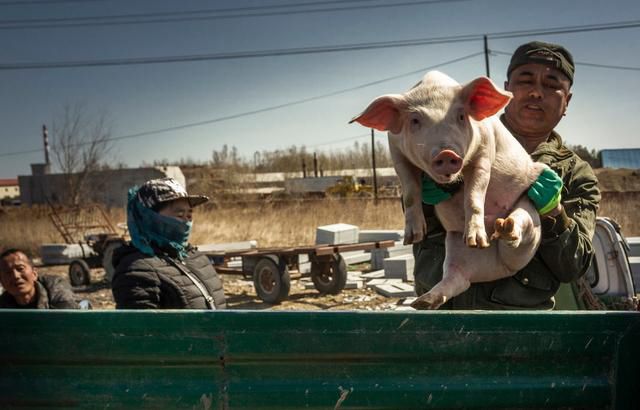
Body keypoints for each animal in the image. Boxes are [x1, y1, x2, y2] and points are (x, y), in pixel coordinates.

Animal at [350, 71, 552, 308]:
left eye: (462, 116)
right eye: (415, 120)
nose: (446, 153)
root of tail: (497, 270)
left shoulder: (485, 151)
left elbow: (474, 195)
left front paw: (476, 240)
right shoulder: (397, 155)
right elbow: (410, 193)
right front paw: (413, 237)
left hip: (530, 217)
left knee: (519, 231)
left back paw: (501, 229)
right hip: (455, 247)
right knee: (457, 279)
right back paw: (422, 302)